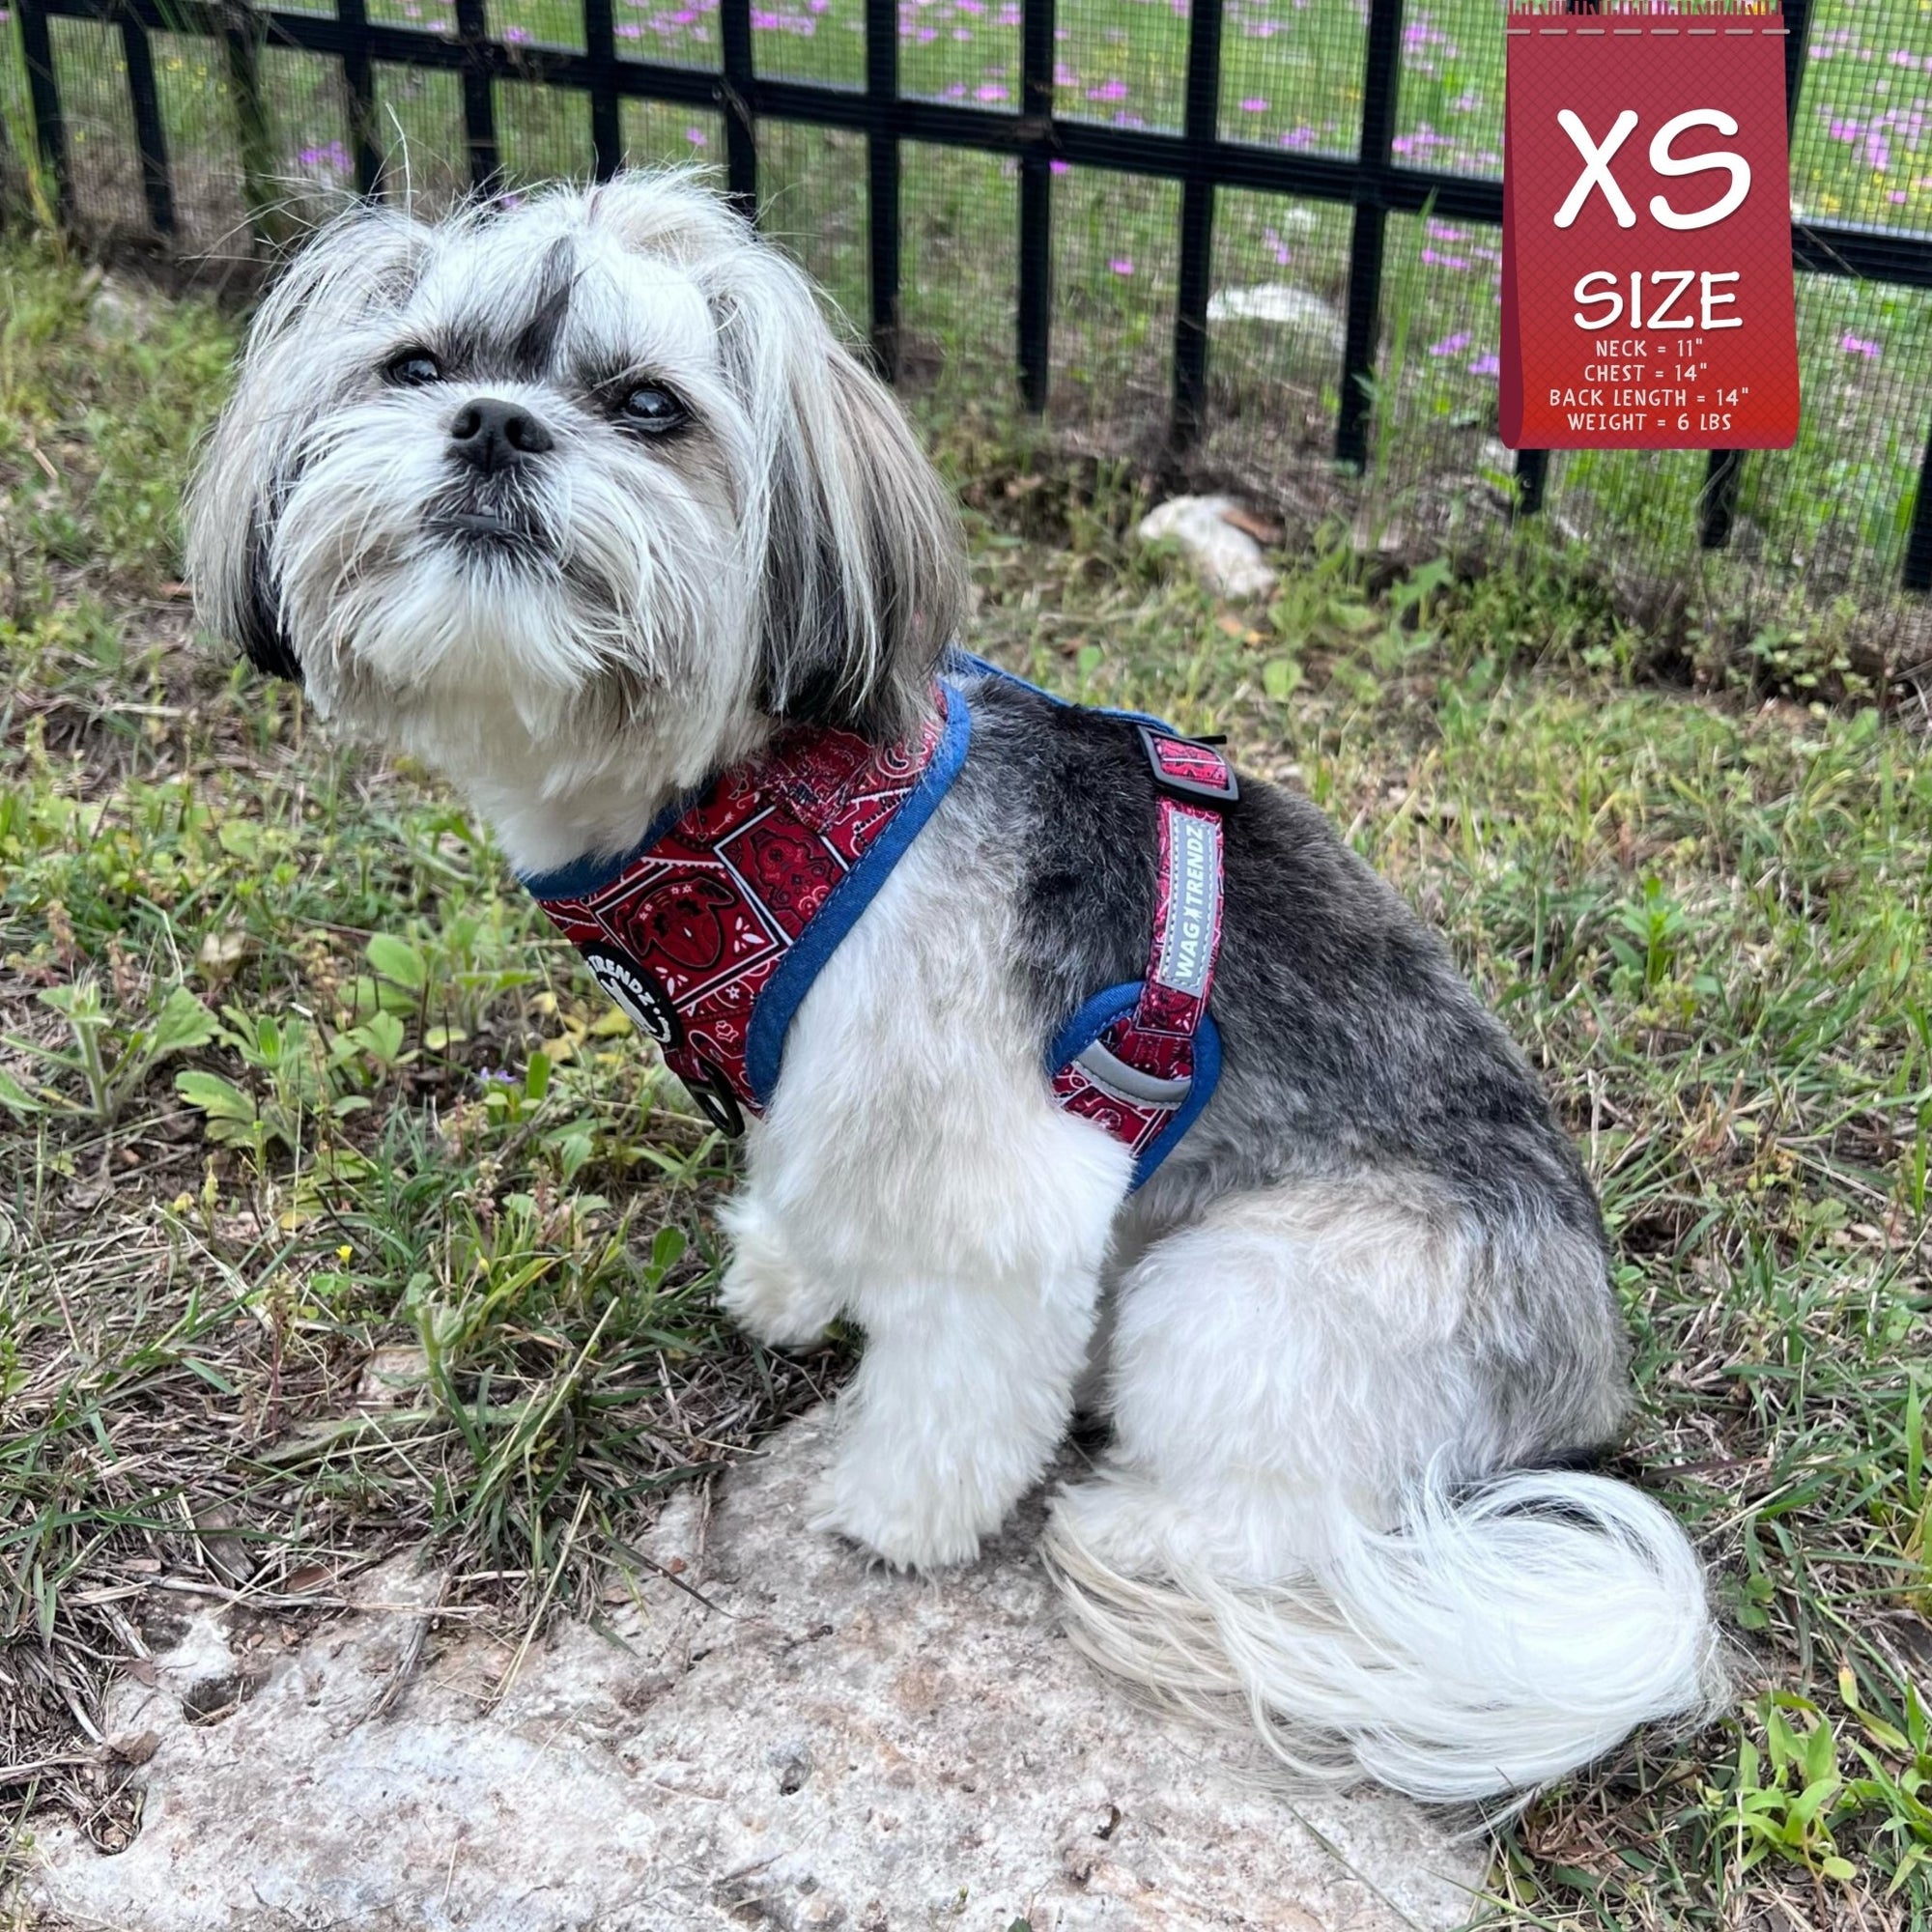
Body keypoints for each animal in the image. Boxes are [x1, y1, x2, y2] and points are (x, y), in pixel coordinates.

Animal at [188, 170, 1731, 1808]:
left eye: (649, 404)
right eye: (411, 367)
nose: (489, 425)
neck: (761, 804)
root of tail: (1584, 1381)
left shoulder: (1004, 1178)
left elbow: (961, 1378)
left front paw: (894, 1512)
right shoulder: (808, 1091)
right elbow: (809, 1196)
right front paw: (788, 1282)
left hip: (1251, 1296)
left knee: (1269, 1520)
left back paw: (1133, 1522)